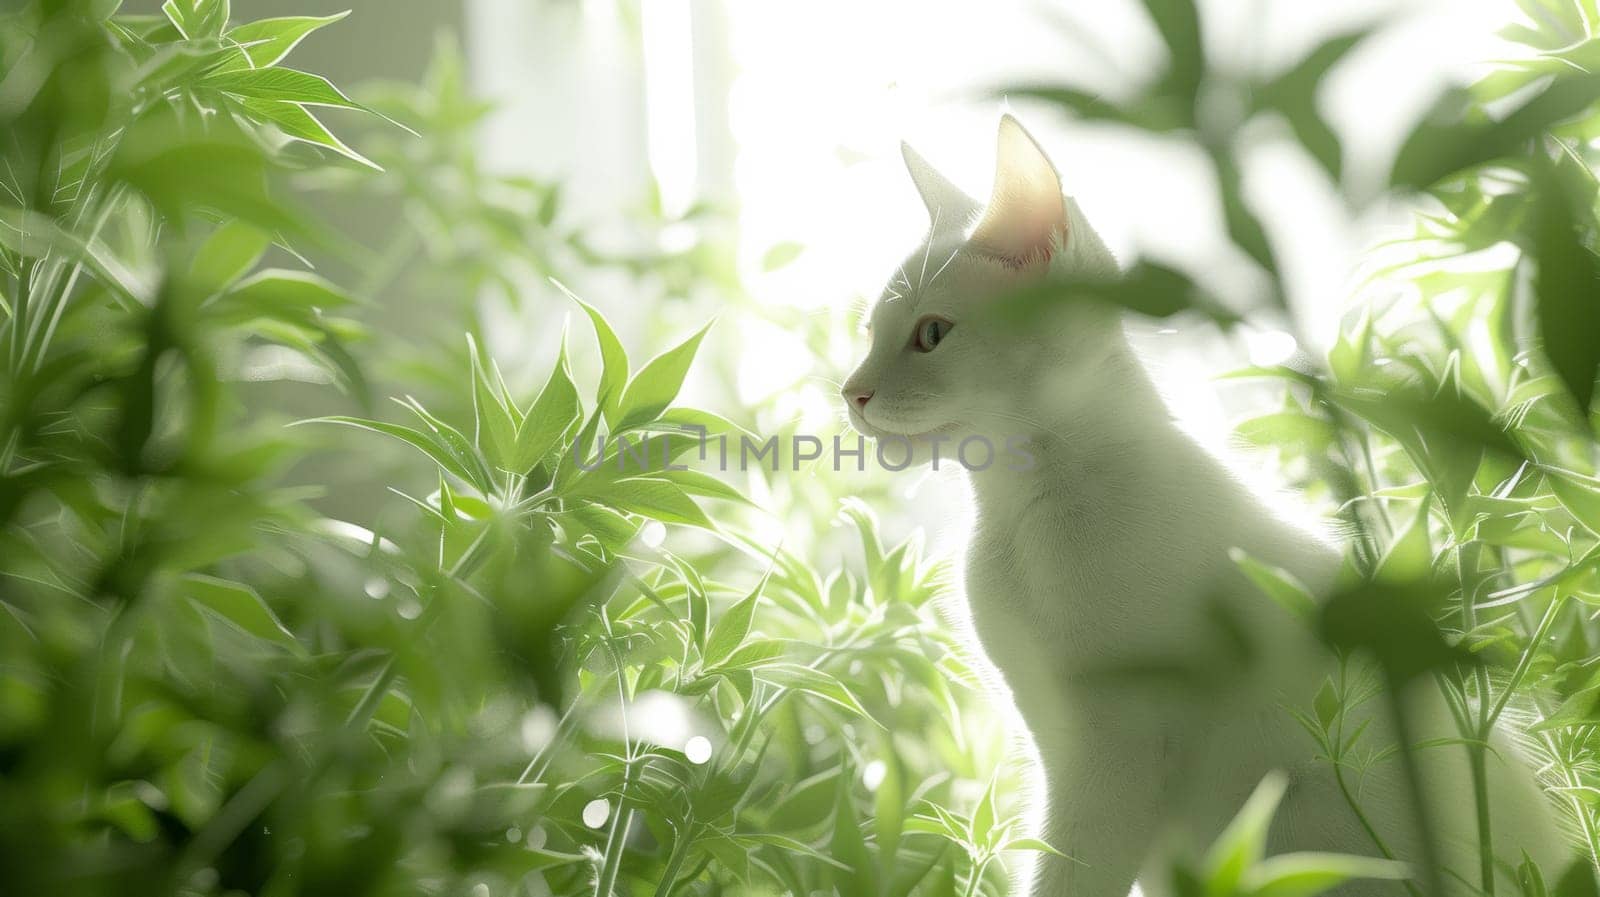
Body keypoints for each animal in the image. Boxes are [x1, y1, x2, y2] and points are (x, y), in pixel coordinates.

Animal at [844, 115, 1568, 895]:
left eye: (932, 334)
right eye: (870, 334)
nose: (851, 392)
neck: (1020, 514)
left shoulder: (1109, 757)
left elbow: (1067, 873)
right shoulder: (1056, 742)